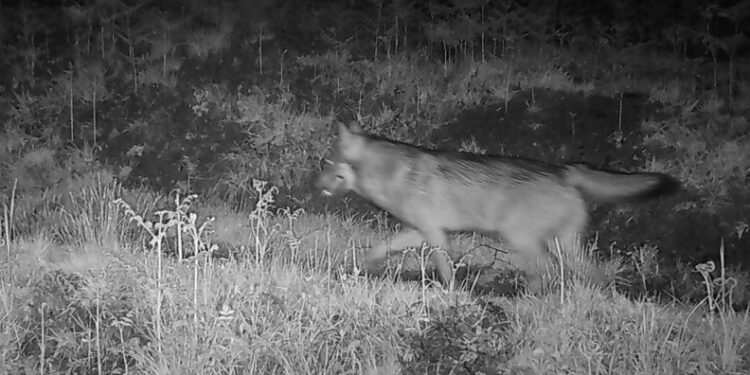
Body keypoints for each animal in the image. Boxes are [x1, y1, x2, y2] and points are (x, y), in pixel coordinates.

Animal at [318, 122, 680, 292]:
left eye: (328, 163)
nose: (315, 184)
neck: (391, 173)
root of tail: (564, 170)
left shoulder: (434, 233)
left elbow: (445, 268)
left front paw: (452, 293)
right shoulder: (421, 230)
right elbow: (380, 248)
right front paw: (357, 267)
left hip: (521, 239)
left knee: (548, 272)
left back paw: (526, 295)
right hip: (564, 246)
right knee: (591, 274)